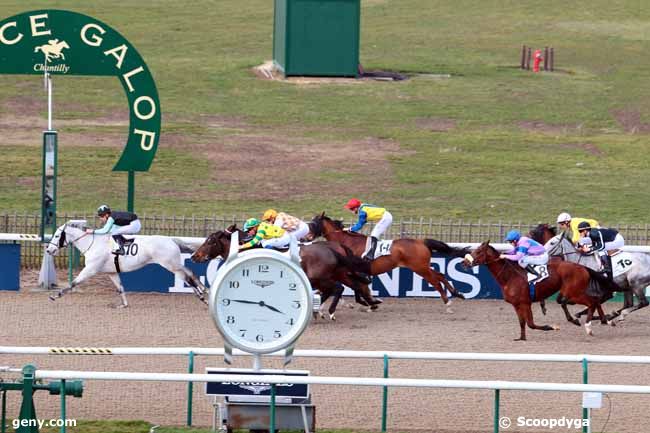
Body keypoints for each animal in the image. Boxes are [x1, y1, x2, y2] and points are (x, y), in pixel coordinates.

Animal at [45, 219, 206, 308]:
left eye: (57, 236)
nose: (49, 250)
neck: (92, 243)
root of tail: (171, 239)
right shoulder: (111, 272)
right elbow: (120, 288)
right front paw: (124, 305)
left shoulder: (90, 269)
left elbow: (73, 283)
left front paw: (55, 295)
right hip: (174, 263)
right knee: (190, 272)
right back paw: (204, 290)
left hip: (170, 265)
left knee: (187, 277)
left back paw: (202, 296)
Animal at [189, 224, 380, 318]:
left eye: (210, 241)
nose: (194, 256)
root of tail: (332, 249)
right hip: (333, 275)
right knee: (351, 285)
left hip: (320, 277)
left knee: (339, 288)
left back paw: (331, 311)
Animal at [308, 212, 466, 308]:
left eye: (314, 223)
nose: (307, 237)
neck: (346, 242)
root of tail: (421, 241)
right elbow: (358, 288)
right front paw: (371, 302)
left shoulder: (353, 272)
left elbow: (358, 288)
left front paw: (370, 302)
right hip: (423, 267)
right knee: (440, 275)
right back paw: (457, 293)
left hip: (420, 268)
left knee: (435, 280)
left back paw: (447, 302)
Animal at [460, 241, 612, 340]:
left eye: (478, 251)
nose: (464, 262)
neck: (510, 276)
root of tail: (583, 267)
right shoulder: (516, 304)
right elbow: (522, 322)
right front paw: (521, 338)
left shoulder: (525, 303)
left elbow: (531, 324)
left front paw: (551, 327)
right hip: (576, 292)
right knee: (595, 300)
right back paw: (605, 320)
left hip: (574, 293)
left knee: (591, 302)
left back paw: (588, 326)